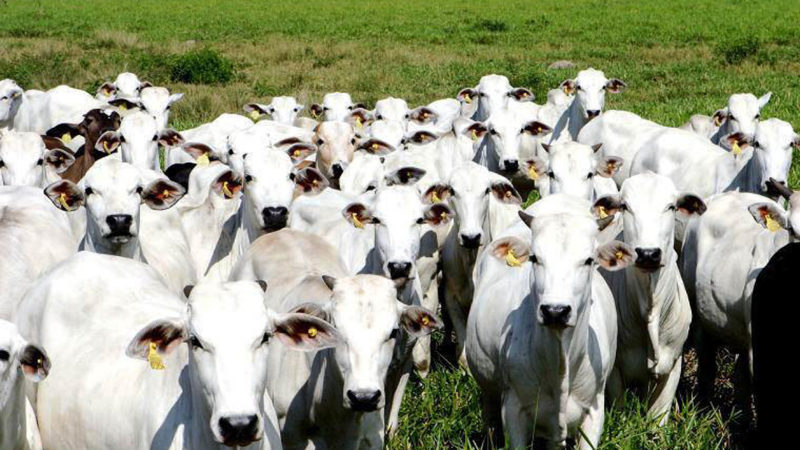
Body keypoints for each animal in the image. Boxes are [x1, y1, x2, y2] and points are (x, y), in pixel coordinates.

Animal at [594, 173, 703, 424]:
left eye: (671, 206)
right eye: (625, 206)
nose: (648, 254)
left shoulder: (673, 365)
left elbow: (657, 422)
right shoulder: (614, 372)